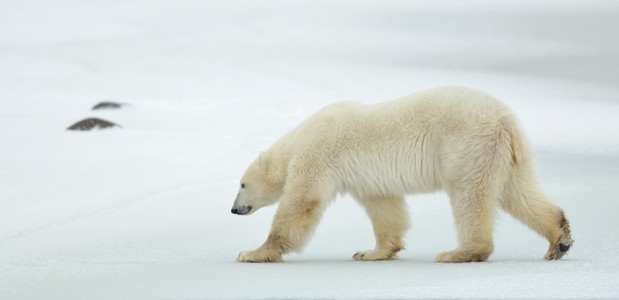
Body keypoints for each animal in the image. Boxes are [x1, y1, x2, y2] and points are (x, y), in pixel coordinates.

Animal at [230, 86, 572, 262]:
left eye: (242, 184)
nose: (234, 209)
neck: (299, 138)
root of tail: (505, 120)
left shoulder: (319, 155)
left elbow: (301, 204)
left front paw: (253, 252)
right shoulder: (368, 180)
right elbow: (386, 209)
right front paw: (370, 252)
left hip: (466, 145)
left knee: (469, 195)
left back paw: (458, 252)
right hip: (506, 156)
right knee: (520, 193)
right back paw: (559, 241)